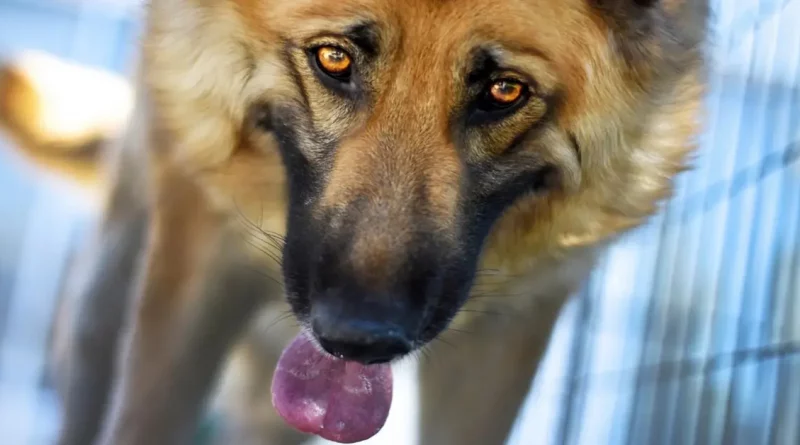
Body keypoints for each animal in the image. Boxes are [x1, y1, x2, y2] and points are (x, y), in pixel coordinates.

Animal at [0, 1, 712, 442]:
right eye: (334, 59)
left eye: (504, 91)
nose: (358, 338)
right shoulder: (196, 265)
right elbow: (147, 418)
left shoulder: (508, 334)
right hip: (108, 294)